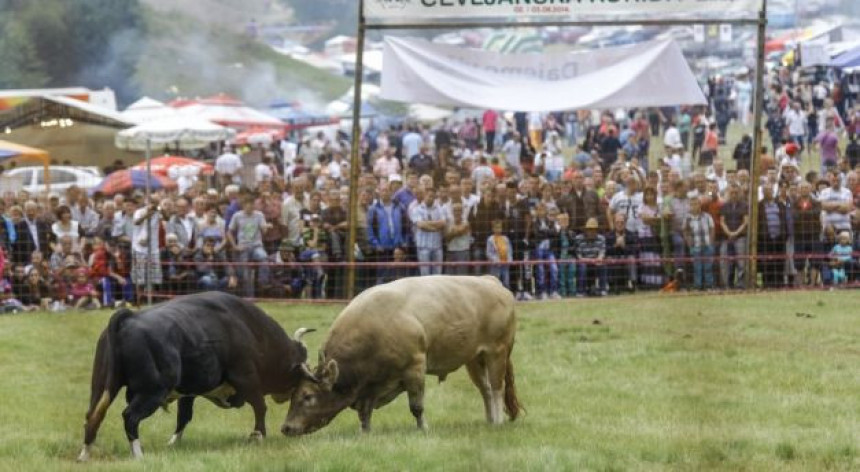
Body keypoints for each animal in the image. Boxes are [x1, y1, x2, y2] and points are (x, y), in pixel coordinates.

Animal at [76, 292, 316, 460]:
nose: (289, 394)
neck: (251, 329)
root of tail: (128, 317)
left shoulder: (188, 393)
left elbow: (184, 417)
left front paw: (173, 443)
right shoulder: (246, 379)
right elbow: (260, 407)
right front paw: (258, 435)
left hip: (101, 388)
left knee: (92, 417)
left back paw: (84, 455)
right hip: (151, 392)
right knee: (130, 417)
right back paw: (139, 455)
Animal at [280, 276, 516, 436]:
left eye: (308, 396)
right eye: (294, 394)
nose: (286, 427)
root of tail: (491, 282)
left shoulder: (415, 369)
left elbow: (416, 407)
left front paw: (423, 428)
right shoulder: (370, 387)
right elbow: (364, 413)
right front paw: (364, 432)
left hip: (497, 352)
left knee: (497, 388)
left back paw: (498, 421)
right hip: (474, 360)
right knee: (485, 390)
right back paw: (489, 420)